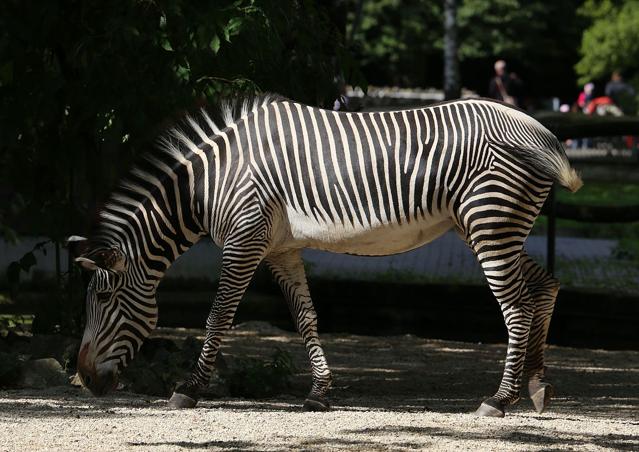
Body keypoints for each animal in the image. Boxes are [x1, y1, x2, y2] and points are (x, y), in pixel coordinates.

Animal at [69, 93, 580, 418]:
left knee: (516, 306)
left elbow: (218, 317)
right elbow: (305, 318)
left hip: (490, 222)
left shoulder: (244, 240)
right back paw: (536, 387)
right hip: (490, 227)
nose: (84, 382)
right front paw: (319, 393)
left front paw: (189, 390)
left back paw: (499, 399)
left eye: (104, 300)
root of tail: (537, 129)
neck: (209, 183)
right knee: (545, 285)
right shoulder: (281, 248)